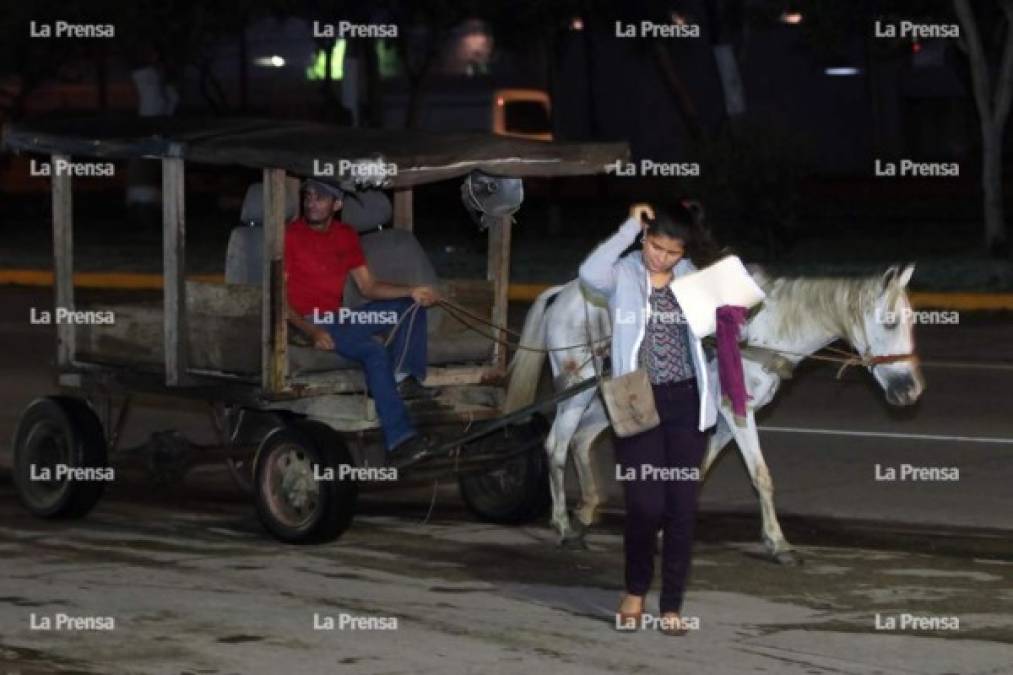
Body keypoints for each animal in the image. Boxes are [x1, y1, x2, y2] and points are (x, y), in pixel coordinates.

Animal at [506, 263, 927, 563]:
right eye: (890, 322)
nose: (911, 391)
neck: (762, 330)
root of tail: (563, 291)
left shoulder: (726, 419)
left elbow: (698, 470)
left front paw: (666, 531)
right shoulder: (737, 412)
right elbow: (761, 474)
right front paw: (778, 543)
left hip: (616, 394)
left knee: (580, 439)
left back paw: (585, 513)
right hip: (577, 385)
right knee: (557, 445)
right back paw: (562, 526)